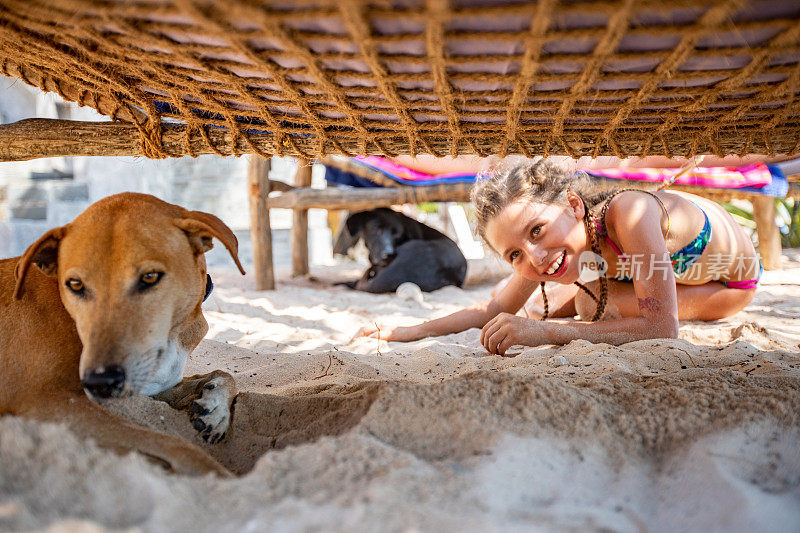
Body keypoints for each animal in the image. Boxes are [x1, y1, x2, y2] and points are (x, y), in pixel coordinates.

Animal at [0, 193, 247, 476]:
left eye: (150, 277)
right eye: (75, 284)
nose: (100, 382)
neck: (173, 333)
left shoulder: (149, 388)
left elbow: (222, 373)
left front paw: (215, 408)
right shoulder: (45, 400)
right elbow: (178, 446)